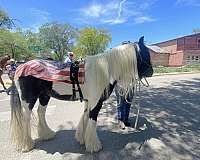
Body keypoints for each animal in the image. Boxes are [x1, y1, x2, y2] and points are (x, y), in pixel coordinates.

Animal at [9, 36, 153, 152]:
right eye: (146, 54)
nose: (151, 72)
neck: (104, 70)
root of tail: (20, 67)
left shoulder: (89, 101)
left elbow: (85, 117)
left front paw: (82, 139)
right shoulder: (96, 102)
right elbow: (92, 120)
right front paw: (94, 146)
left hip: (45, 96)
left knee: (41, 112)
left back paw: (47, 134)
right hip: (29, 100)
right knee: (26, 118)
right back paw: (27, 145)